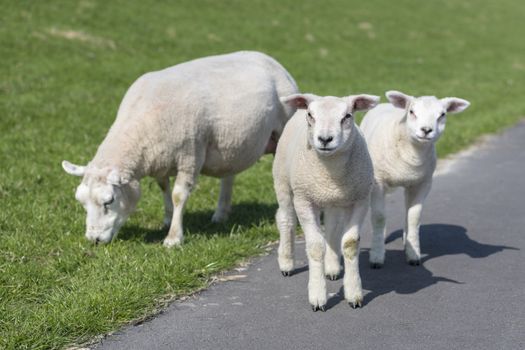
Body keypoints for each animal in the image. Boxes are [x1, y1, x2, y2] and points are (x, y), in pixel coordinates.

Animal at [60, 50, 298, 247]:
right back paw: (221, 214)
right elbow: (163, 188)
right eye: (81, 201)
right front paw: (166, 220)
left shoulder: (190, 156)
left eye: (109, 201)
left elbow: (178, 195)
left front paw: (173, 238)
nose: (94, 240)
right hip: (231, 144)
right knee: (228, 176)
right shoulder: (160, 158)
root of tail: (268, 58)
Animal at [272, 91, 378, 310]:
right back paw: (286, 263)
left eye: (347, 116)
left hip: (333, 202)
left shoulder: (361, 199)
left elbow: (349, 243)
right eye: (311, 115)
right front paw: (317, 296)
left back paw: (331, 268)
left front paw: (354, 294)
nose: (325, 139)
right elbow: (314, 246)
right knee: (285, 219)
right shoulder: (304, 200)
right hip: (283, 182)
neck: (330, 171)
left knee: (331, 229)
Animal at [362, 91, 468, 268]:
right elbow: (379, 217)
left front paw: (413, 255)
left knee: (407, 211)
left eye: (442, 115)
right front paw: (376, 256)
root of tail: (387, 104)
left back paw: (407, 242)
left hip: (410, 184)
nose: (426, 130)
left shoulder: (422, 184)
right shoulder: (378, 182)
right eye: (412, 112)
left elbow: (414, 217)